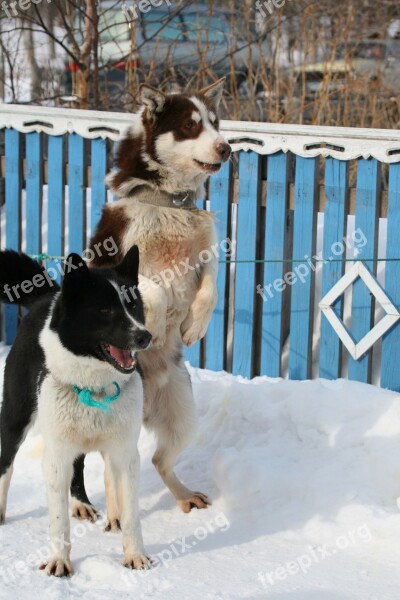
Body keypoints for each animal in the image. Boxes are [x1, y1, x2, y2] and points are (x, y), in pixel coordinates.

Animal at [0, 248, 152, 576]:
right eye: (105, 310)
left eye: (133, 304)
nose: (145, 336)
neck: (95, 388)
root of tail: (50, 296)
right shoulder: (56, 454)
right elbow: (58, 522)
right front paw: (59, 560)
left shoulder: (126, 453)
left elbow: (132, 514)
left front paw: (134, 554)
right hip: (15, 419)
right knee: (6, 464)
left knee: (84, 468)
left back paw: (87, 505)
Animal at [71, 78, 231, 520]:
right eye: (191, 126)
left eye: (215, 122)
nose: (226, 148)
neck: (168, 200)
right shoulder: (122, 263)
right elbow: (156, 291)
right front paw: (154, 323)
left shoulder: (207, 256)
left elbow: (211, 289)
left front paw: (193, 325)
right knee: (107, 466)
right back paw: (110, 515)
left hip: (183, 413)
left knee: (159, 460)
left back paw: (183, 495)